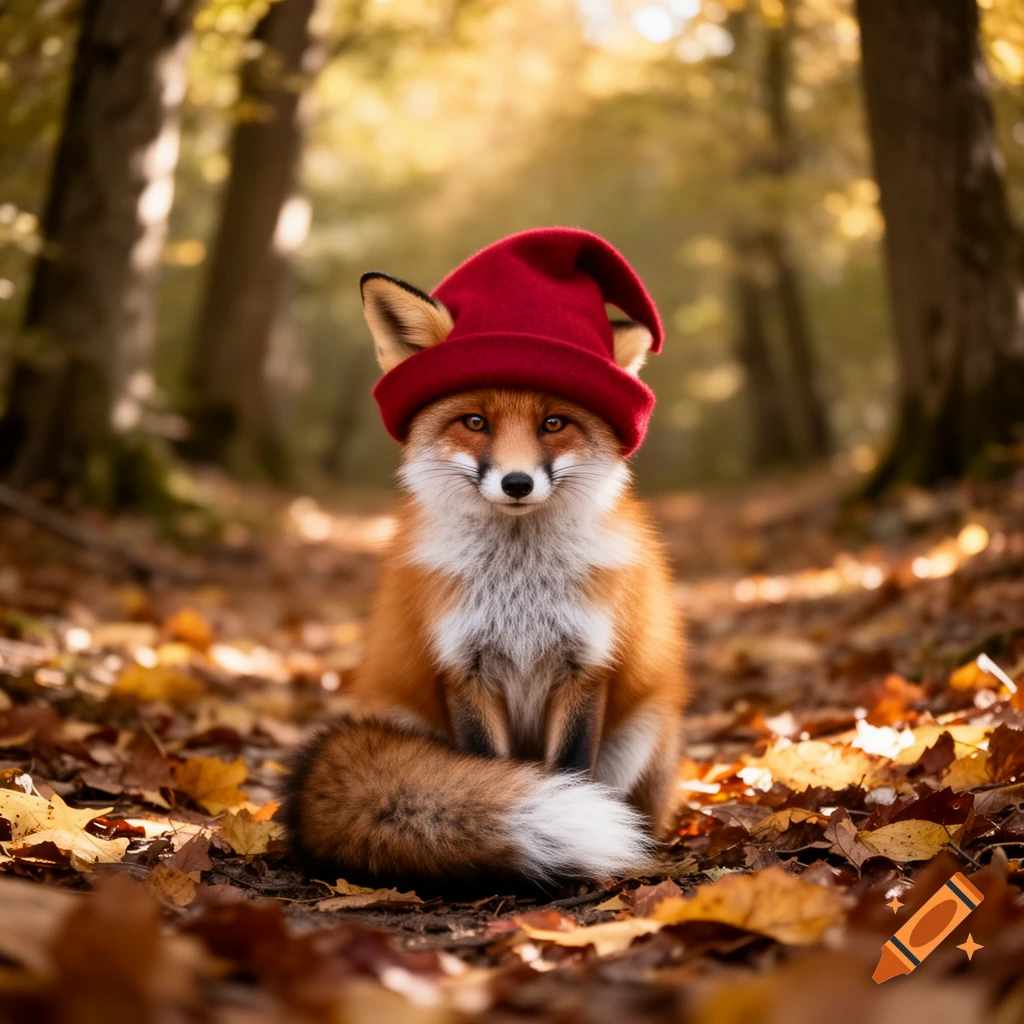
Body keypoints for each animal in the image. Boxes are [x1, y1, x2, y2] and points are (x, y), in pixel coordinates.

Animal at [282, 254, 688, 891]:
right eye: (474, 421)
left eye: (554, 424)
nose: (517, 483)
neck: (518, 589)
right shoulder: (463, 668)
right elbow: (492, 772)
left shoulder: (585, 667)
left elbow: (572, 772)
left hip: (643, 729)